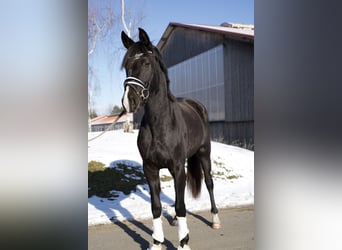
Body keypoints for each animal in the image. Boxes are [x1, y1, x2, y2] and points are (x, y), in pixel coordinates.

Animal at [121, 27, 220, 250]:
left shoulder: (177, 166)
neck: (161, 123)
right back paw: (174, 219)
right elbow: (156, 206)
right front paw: (156, 242)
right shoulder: (150, 168)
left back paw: (215, 219)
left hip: (204, 154)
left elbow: (182, 205)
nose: (129, 101)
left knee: (209, 183)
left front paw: (183, 242)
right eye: (126, 65)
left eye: (146, 63)